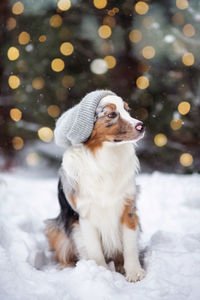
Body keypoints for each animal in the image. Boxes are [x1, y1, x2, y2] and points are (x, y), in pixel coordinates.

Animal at [45, 92, 145, 282]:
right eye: (111, 114)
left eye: (127, 110)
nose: (141, 126)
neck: (106, 155)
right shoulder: (85, 214)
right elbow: (94, 248)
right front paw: (101, 273)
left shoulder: (127, 207)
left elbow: (129, 244)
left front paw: (134, 272)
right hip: (55, 230)